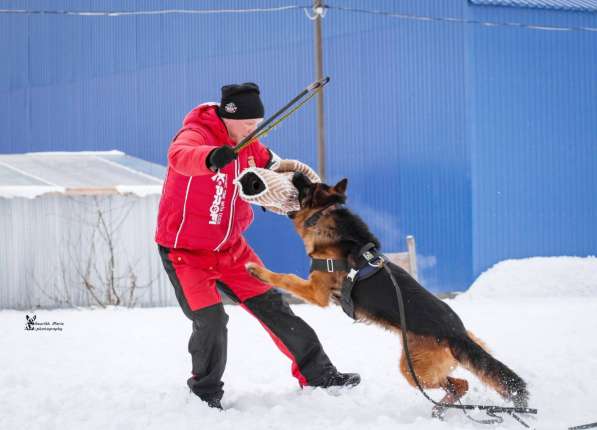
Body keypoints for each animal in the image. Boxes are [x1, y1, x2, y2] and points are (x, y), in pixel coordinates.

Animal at [244, 173, 528, 414]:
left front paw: (257, 270)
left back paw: (442, 408)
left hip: (413, 369)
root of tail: (455, 333)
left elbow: (285, 277)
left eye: (309, 187)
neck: (326, 217)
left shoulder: (315, 292)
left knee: (459, 384)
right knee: (460, 384)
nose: (297, 173)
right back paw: (444, 408)